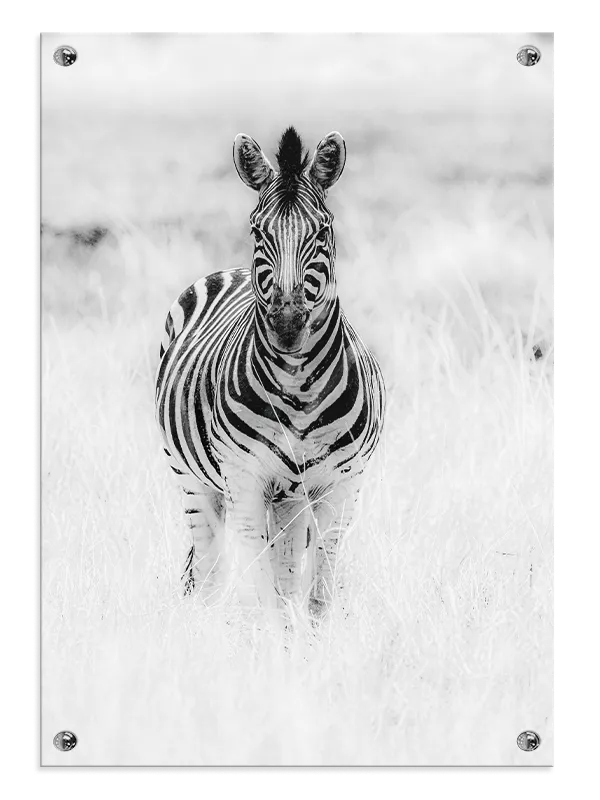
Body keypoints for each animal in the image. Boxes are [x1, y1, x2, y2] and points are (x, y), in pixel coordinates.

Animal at [155, 127, 385, 618]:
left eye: (323, 230)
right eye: (257, 230)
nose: (287, 322)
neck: (298, 386)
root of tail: (233, 270)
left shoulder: (342, 485)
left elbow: (316, 593)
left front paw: (310, 638)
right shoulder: (245, 479)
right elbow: (264, 593)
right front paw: (273, 637)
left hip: (290, 497)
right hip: (192, 481)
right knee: (209, 567)